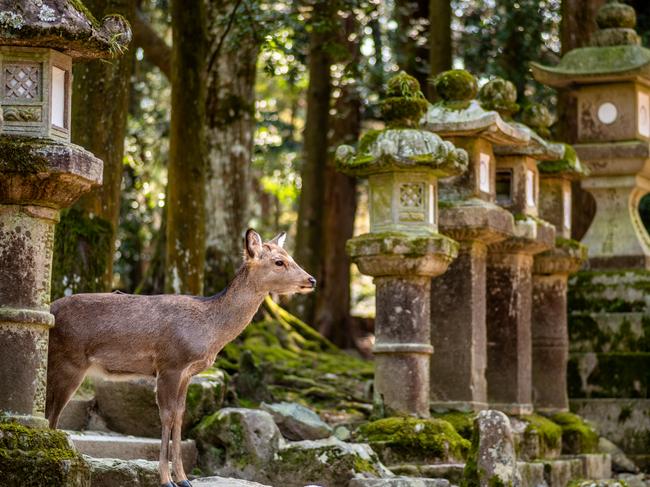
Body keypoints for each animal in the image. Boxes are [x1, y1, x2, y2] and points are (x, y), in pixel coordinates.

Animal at [46, 230, 316, 487]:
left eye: (291, 256)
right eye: (279, 261)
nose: (311, 280)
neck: (210, 332)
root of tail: (50, 309)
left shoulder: (187, 373)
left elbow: (179, 415)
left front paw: (184, 479)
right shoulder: (170, 364)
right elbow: (166, 416)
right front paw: (166, 480)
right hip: (69, 362)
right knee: (53, 413)